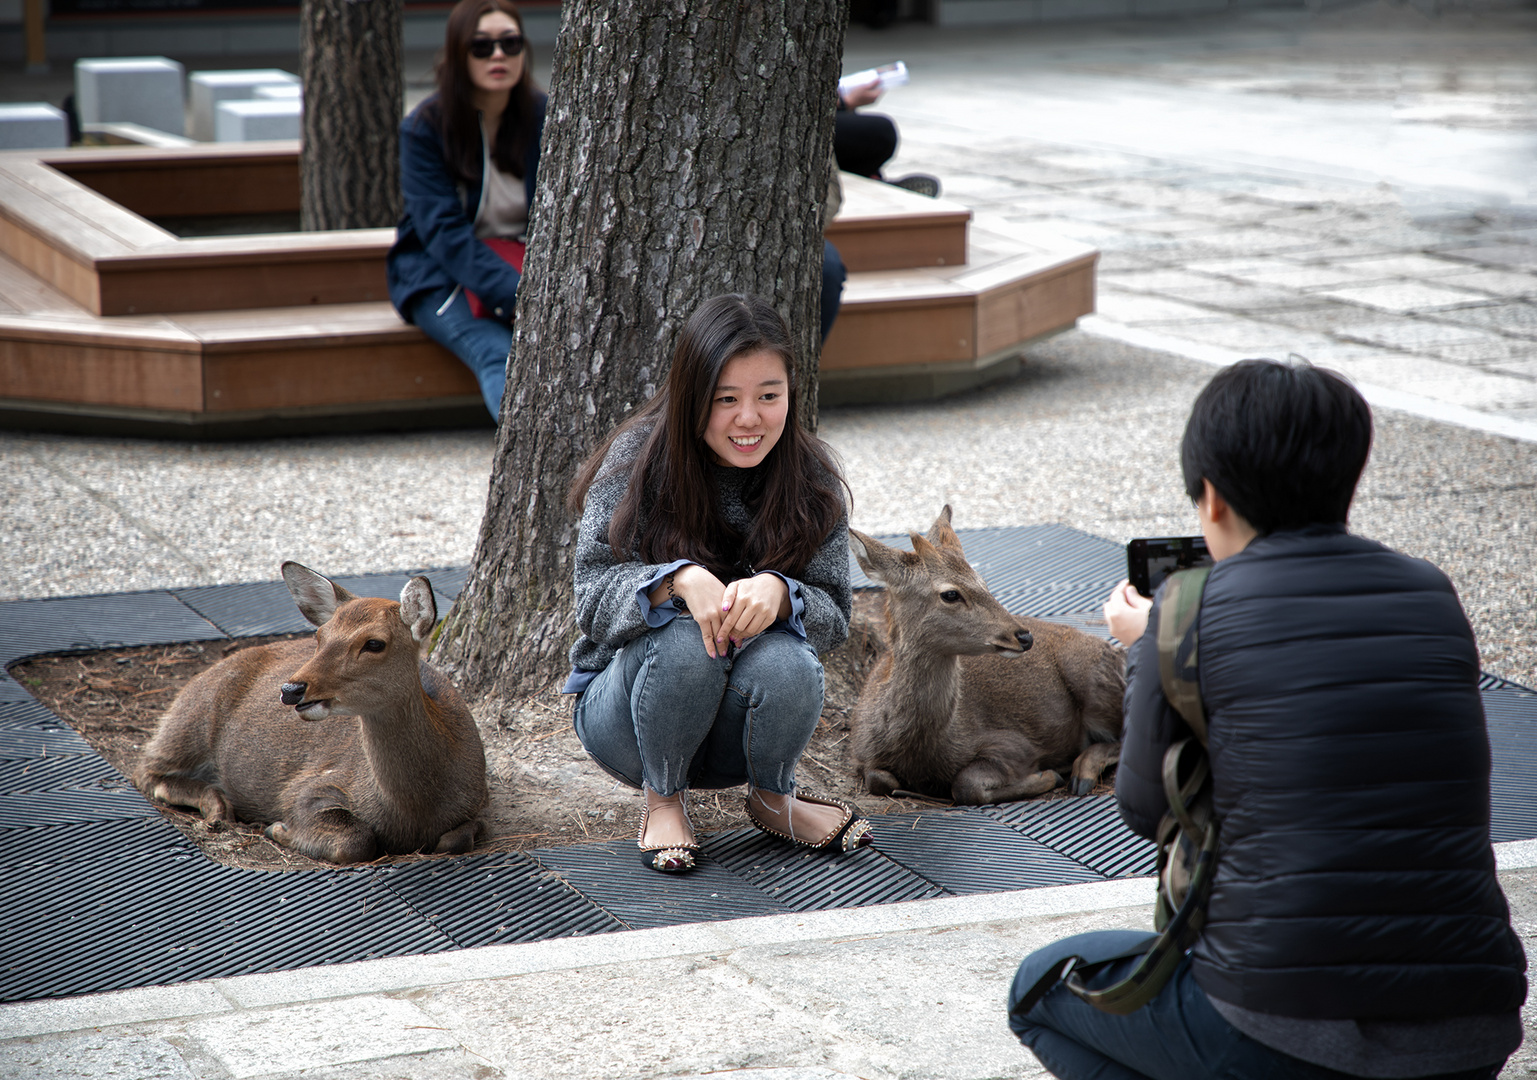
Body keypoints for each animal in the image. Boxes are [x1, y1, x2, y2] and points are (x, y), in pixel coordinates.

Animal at [138, 565, 488, 860]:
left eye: (374, 643)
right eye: (320, 635)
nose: (291, 689)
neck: (416, 809)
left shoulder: (477, 803)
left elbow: (456, 839)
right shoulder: (308, 787)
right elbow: (358, 840)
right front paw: (279, 828)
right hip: (192, 716)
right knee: (148, 768)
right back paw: (217, 808)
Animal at [848, 506, 1125, 805]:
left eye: (984, 583)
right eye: (950, 594)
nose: (1024, 636)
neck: (921, 751)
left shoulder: (1016, 745)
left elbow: (966, 784)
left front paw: (1047, 775)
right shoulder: (861, 753)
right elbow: (879, 779)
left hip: (1091, 675)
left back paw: (1081, 773)